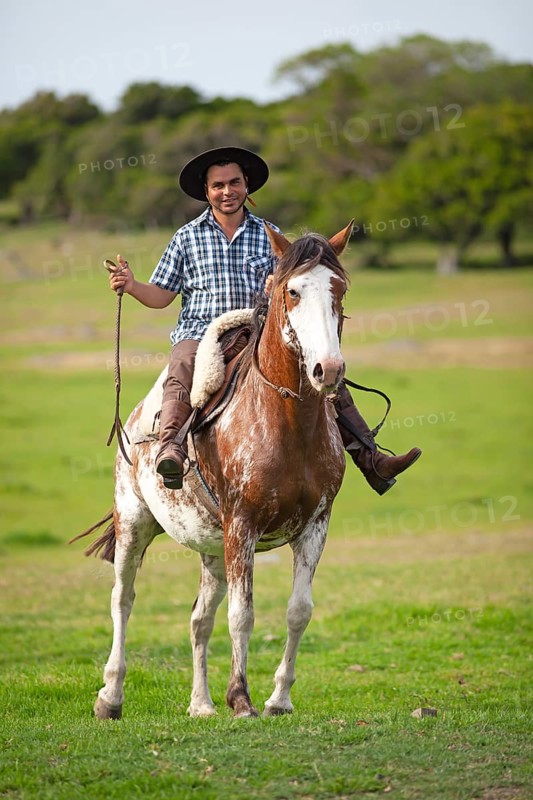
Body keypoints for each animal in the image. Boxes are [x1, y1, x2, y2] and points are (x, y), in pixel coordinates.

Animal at [77, 221, 353, 719]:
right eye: (293, 291)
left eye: (339, 289)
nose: (329, 369)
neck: (288, 422)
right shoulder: (242, 525)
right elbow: (242, 615)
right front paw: (240, 698)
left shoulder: (314, 526)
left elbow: (298, 611)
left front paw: (278, 699)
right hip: (134, 522)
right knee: (123, 600)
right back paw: (110, 696)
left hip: (211, 547)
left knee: (198, 619)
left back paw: (200, 704)